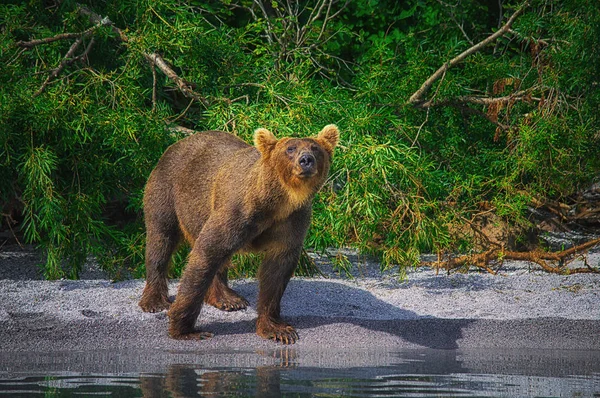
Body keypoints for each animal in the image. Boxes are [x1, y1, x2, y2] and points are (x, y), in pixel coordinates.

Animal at [138, 123, 340, 344]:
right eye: (290, 149)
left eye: (315, 148)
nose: (306, 160)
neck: (279, 201)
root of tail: (177, 143)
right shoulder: (238, 211)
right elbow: (206, 252)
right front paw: (185, 329)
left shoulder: (291, 222)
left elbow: (277, 273)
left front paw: (277, 329)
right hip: (168, 191)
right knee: (161, 239)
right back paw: (155, 300)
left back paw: (228, 298)